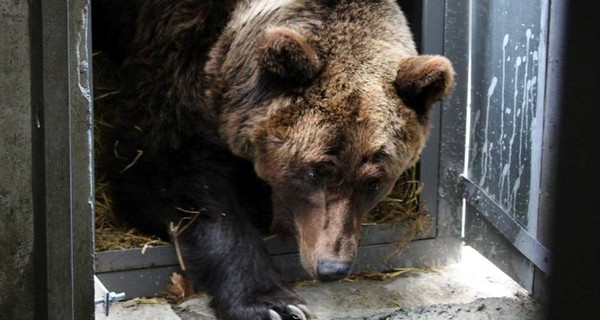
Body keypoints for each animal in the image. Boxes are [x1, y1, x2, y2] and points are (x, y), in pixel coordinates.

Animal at [91, 0, 452, 320]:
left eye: (374, 182)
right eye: (314, 172)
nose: (332, 266)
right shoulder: (179, 60)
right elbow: (167, 173)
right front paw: (273, 304)